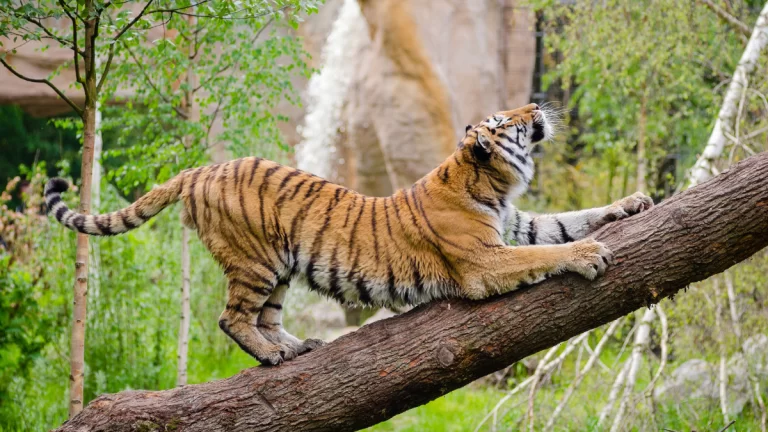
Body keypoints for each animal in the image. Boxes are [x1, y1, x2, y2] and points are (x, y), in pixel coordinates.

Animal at [45, 103, 653, 366]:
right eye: (508, 122)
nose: (535, 105)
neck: (493, 183)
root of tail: (201, 169)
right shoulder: (484, 261)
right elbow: (554, 248)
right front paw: (591, 254)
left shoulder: (517, 225)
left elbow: (567, 219)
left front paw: (632, 202)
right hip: (257, 261)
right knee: (231, 317)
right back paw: (271, 357)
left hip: (281, 269)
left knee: (267, 317)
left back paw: (295, 347)